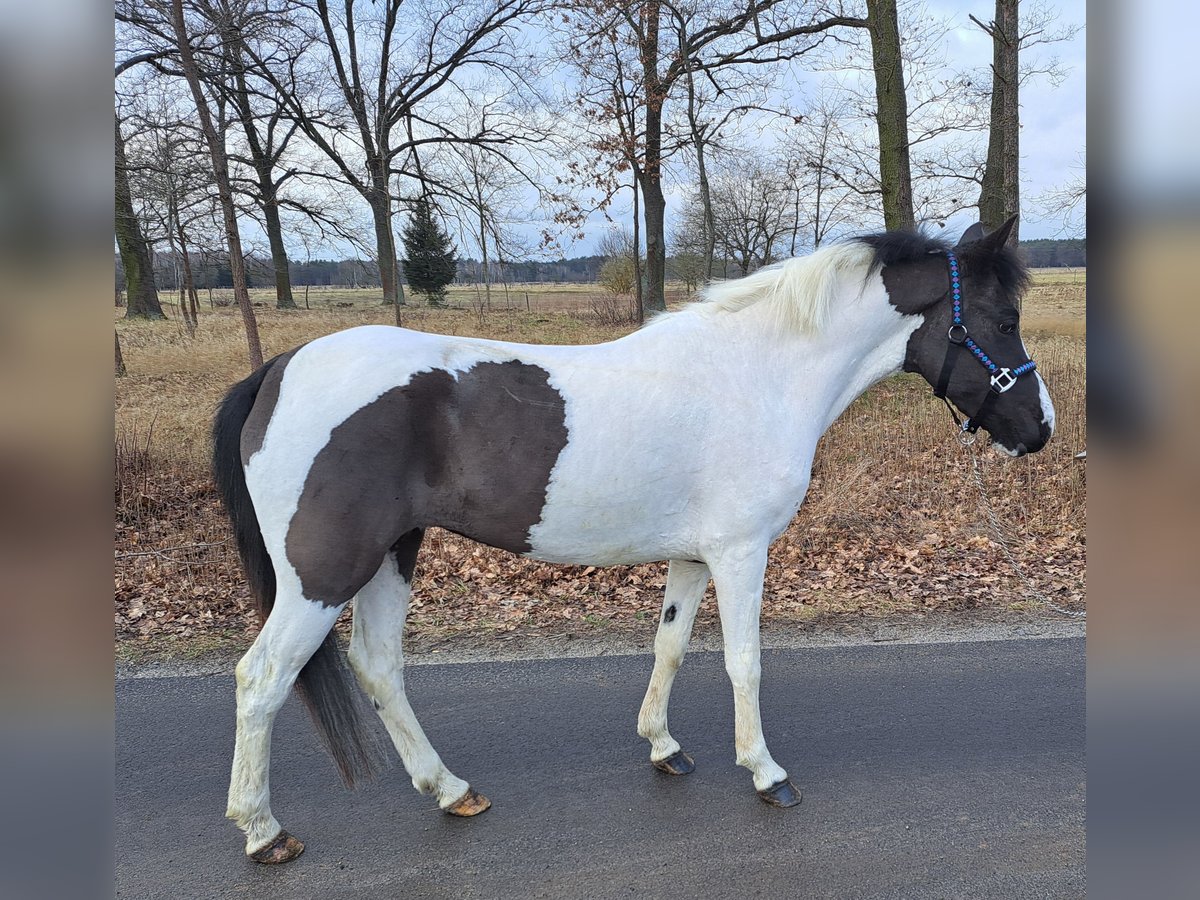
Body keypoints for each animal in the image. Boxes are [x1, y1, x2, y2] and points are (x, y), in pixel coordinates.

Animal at [213, 214, 1051, 864]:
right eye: (1002, 321)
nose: (1039, 430)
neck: (759, 375)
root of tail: (279, 370)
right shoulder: (741, 553)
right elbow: (745, 663)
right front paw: (766, 773)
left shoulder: (693, 555)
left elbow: (670, 646)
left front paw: (663, 747)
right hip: (324, 574)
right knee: (262, 677)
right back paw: (264, 832)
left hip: (396, 552)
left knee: (379, 666)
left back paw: (450, 791)